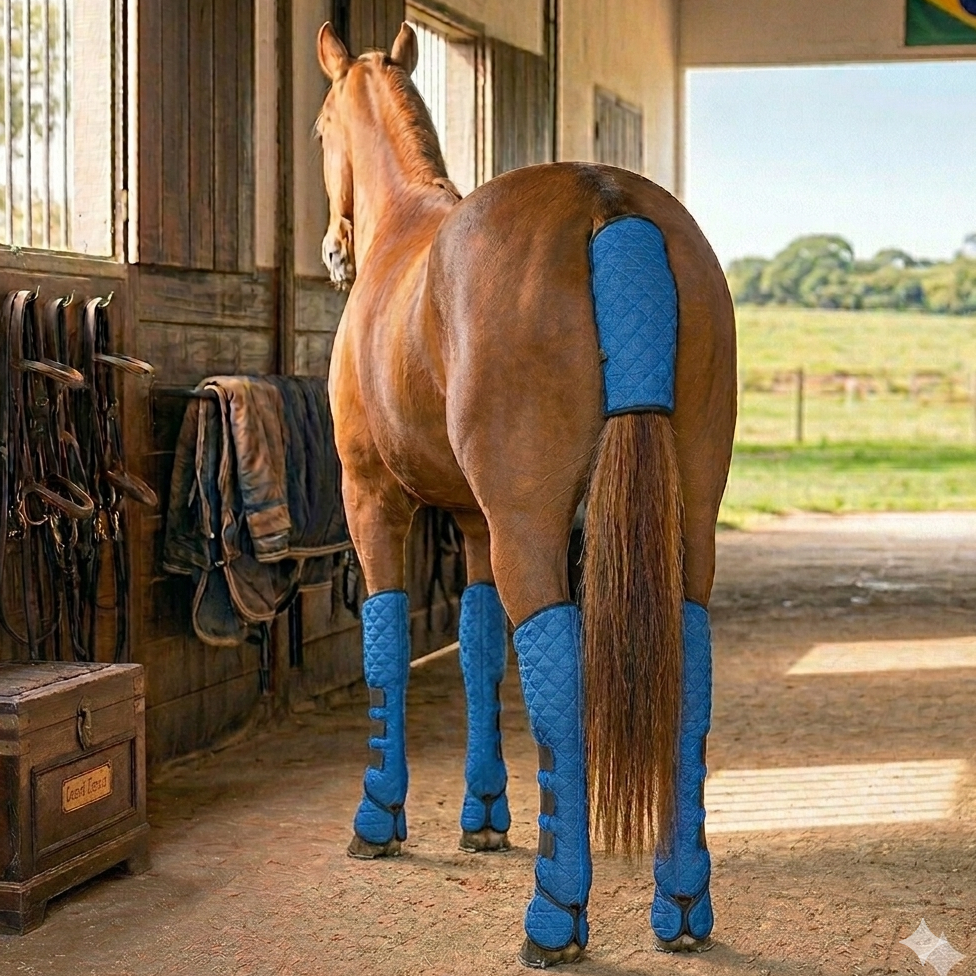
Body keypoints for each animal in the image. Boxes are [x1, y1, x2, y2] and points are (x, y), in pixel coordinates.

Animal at [315, 21, 736, 967]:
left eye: (319, 128)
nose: (332, 251)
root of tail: (607, 201)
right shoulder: (471, 521)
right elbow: (475, 649)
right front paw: (482, 812)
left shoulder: (376, 499)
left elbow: (386, 641)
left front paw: (380, 814)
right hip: (687, 520)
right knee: (688, 661)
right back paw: (682, 901)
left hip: (530, 524)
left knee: (557, 671)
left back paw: (554, 912)